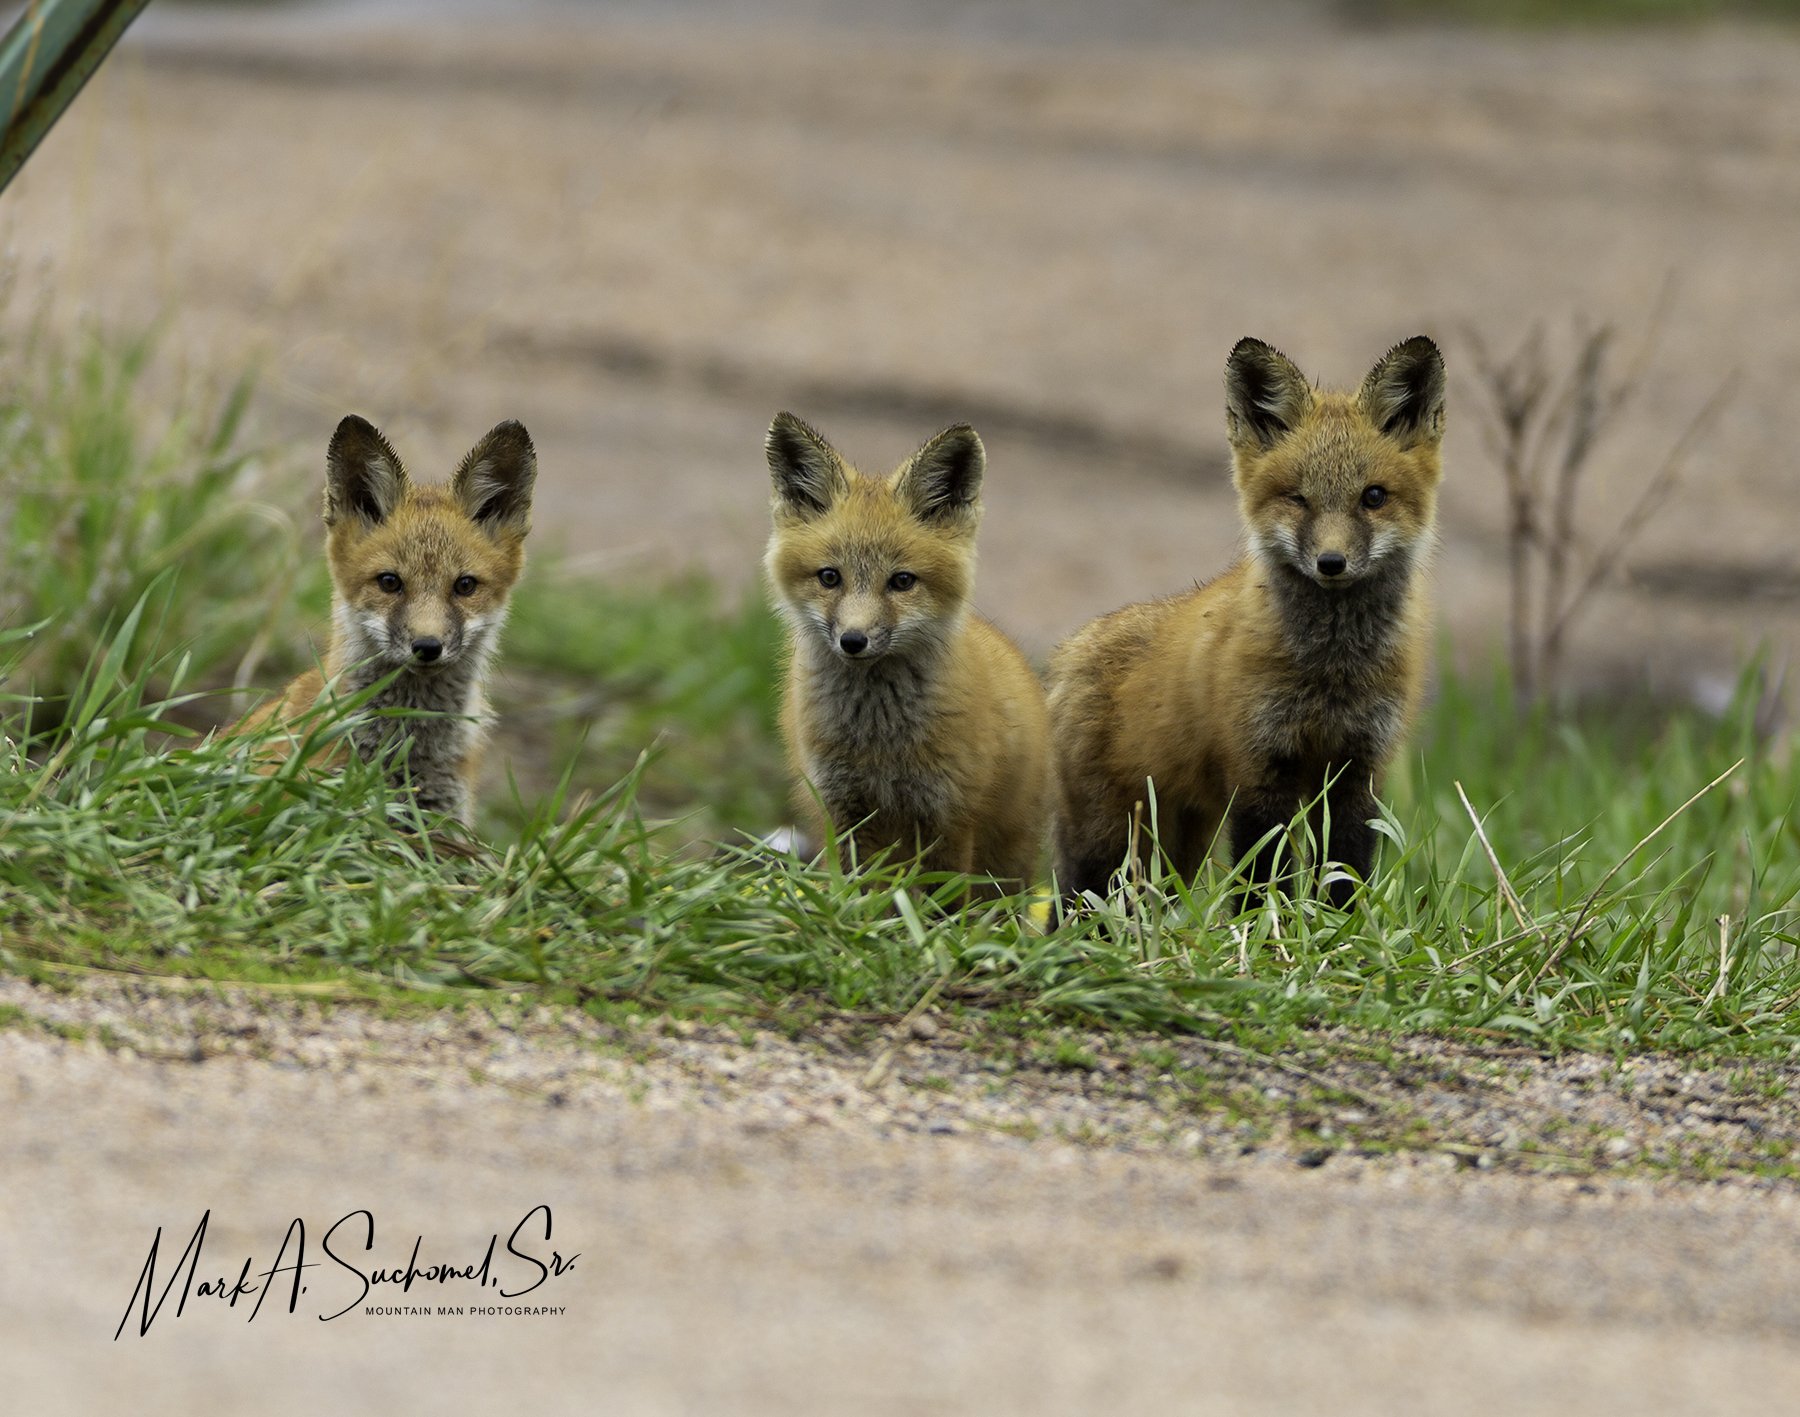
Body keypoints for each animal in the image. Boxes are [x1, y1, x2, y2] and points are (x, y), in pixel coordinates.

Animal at [763, 412, 1051, 895]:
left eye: (901, 581)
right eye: (829, 577)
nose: (853, 640)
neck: (879, 744)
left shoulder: (948, 816)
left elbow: (942, 904)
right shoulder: (844, 812)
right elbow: (857, 894)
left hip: (1005, 865)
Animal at [1046, 335, 1446, 909]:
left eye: (1373, 497)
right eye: (1297, 498)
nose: (1331, 563)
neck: (1332, 672)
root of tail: (1069, 649)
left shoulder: (1357, 771)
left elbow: (1343, 875)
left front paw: (1338, 928)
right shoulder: (1259, 770)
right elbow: (1263, 881)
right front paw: (1265, 929)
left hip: (1179, 846)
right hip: (1107, 844)